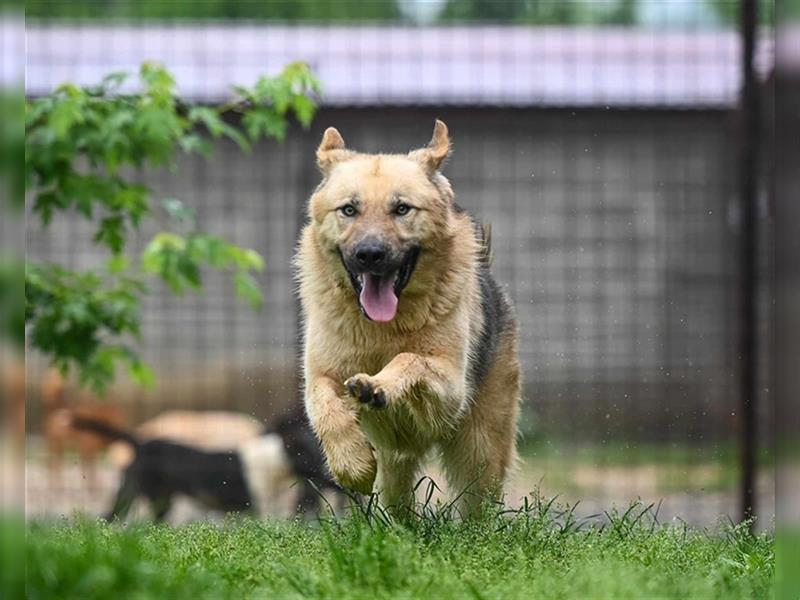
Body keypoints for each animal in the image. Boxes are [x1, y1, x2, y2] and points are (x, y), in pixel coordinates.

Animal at [69, 410, 340, 524]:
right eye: (315, 457)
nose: (333, 476)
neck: (274, 460)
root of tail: (141, 443)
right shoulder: (257, 508)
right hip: (128, 493)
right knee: (109, 516)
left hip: (162, 502)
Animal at [296, 122, 520, 516]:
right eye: (349, 209)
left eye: (402, 209)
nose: (370, 254)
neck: (380, 329)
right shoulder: (320, 377)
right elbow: (327, 410)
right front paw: (353, 466)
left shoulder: (450, 388)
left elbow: (409, 358)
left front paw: (377, 386)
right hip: (395, 467)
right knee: (396, 498)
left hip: (480, 446)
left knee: (478, 500)